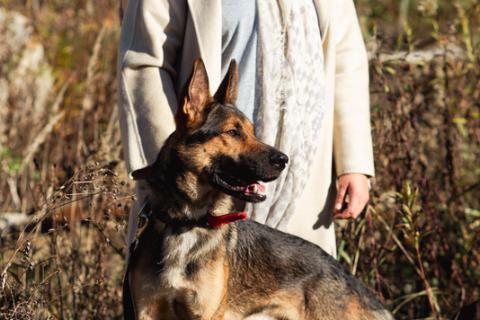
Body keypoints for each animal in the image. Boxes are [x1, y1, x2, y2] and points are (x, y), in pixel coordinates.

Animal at [124, 60, 394, 320]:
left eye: (252, 132)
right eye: (232, 132)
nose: (284, 160)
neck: (186, 222)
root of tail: (346, 276)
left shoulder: (205, 314)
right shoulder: (147, 311)